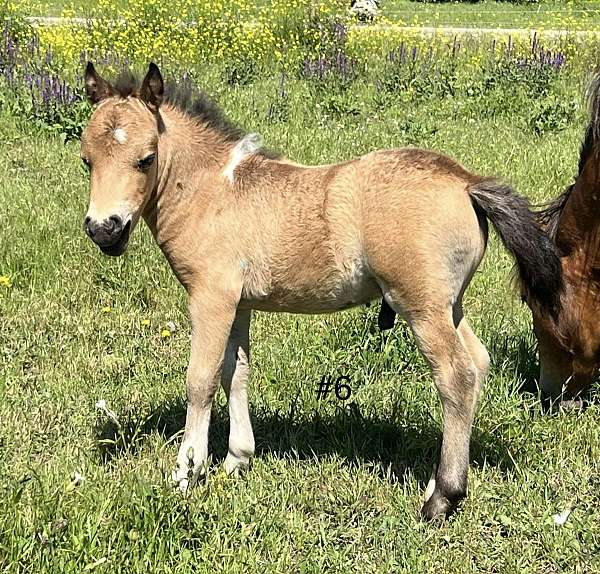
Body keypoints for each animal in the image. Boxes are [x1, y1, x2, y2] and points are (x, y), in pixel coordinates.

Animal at [78, 63, 564, 520]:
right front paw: (237, 460)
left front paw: (187, 471)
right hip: (450, 305)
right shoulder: (238, 303)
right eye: (86, 160)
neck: (213, 192)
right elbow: (235, 373)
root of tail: (465, 181)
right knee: (478, 362)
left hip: (421, 307)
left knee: (456, 375)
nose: (105, 230)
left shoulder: (209, 298)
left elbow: (200, 379)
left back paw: (442, 498)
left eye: (146, 158)